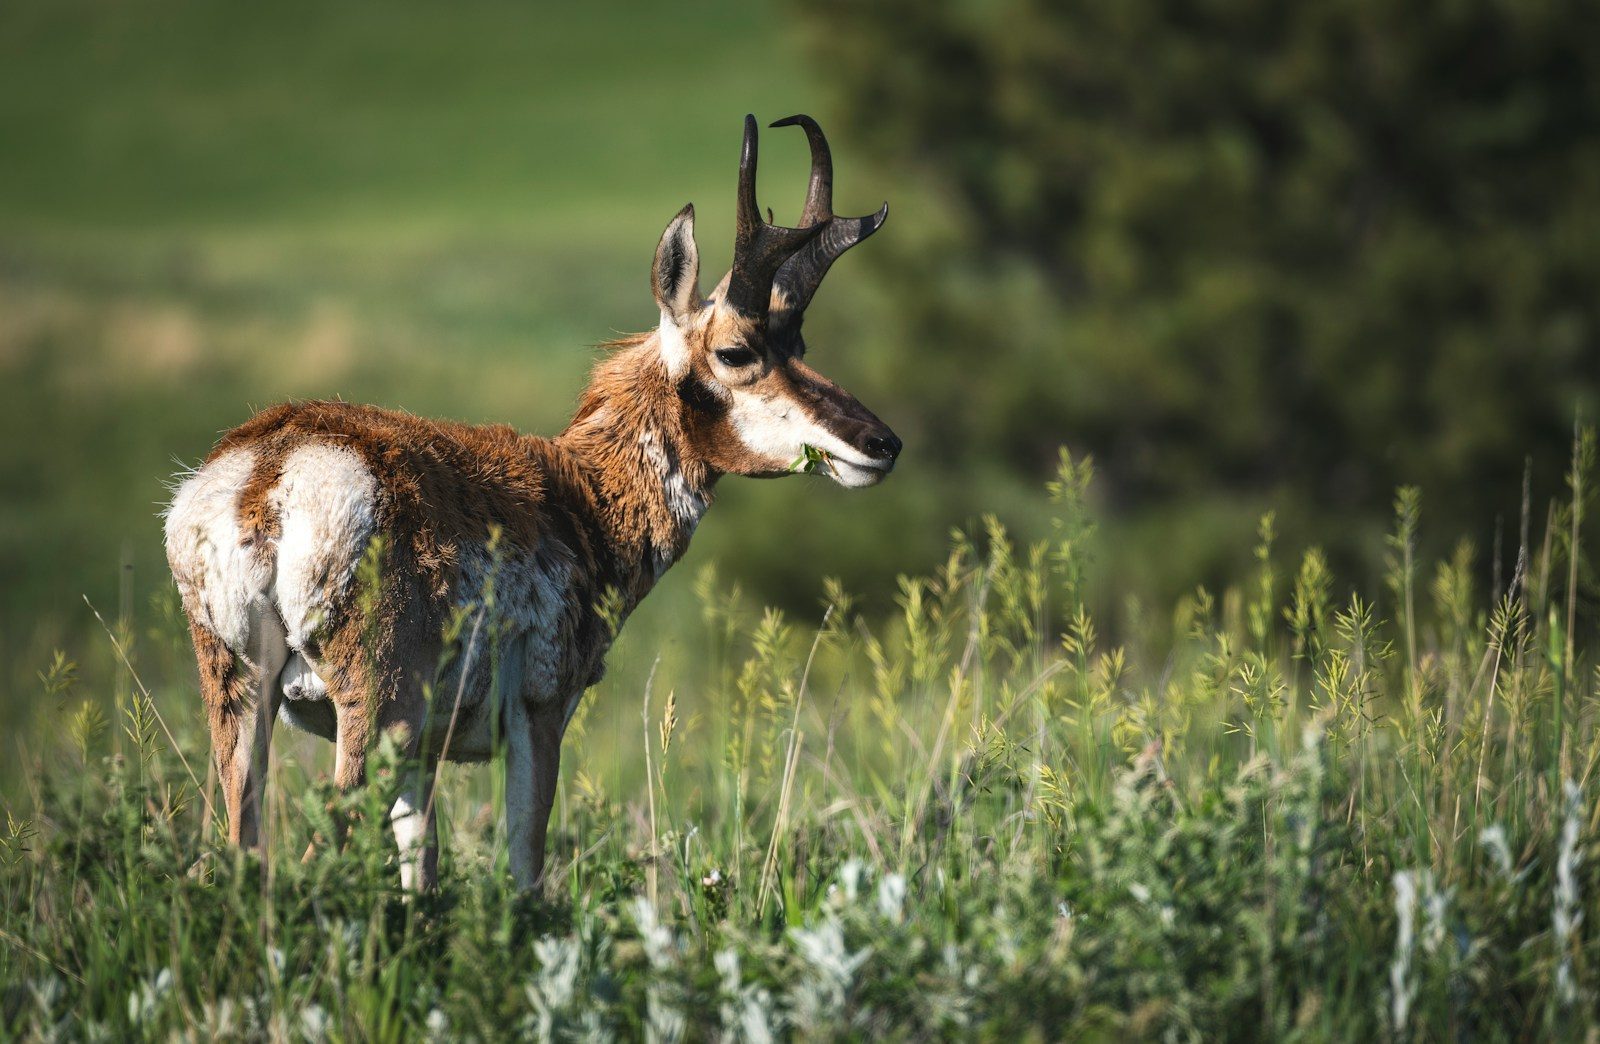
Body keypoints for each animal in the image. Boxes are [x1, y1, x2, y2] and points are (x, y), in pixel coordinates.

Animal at [163, 114, 899, 890]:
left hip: (242, 700)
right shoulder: (539, 717)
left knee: (236, 851)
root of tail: (268, 476)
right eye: (735, 351)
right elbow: (525, 863)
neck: (577, 494)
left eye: (799, 341)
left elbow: (421, 863)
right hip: (374, 717)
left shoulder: (425, 758)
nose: (881, 442)